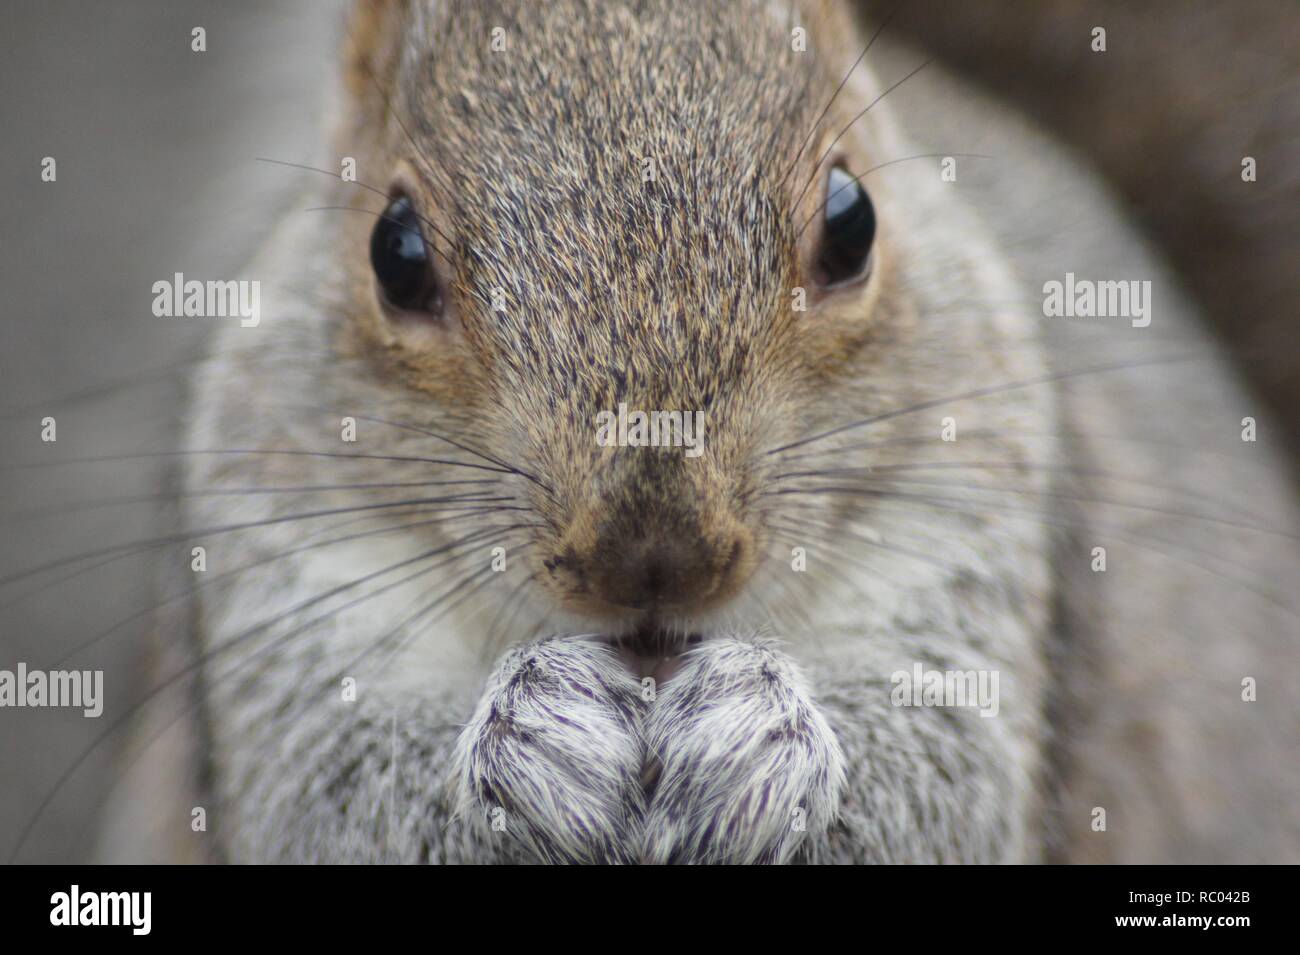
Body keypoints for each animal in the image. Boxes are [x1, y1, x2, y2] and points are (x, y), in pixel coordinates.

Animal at [95, 0, 1300, 863]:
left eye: (853, 221)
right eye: (393, 252)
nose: (653, 552)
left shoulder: (984, 519)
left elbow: (935, 789)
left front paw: (754, 733)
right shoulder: (269, 551)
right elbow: (328, 792)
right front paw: (534, 734)